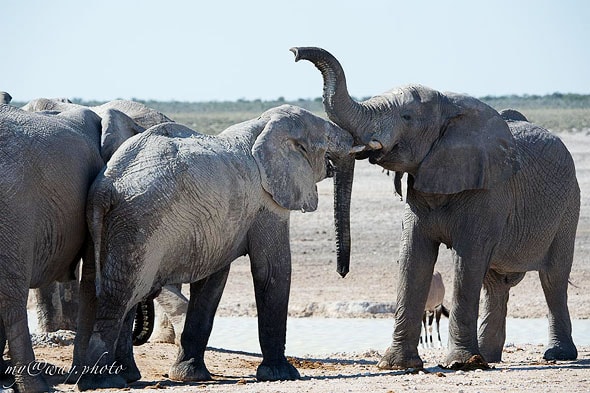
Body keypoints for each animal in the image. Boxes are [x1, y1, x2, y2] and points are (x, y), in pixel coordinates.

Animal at [77, 104, 356, 388]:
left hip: (114, 225)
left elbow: (213, 278)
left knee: (109, 290)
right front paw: (282, 374)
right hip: (138, 224)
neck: (262, 125)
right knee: (121, 296)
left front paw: (189, 375)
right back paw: (102, 382)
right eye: (327, 140)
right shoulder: (266, 203)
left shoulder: (215, 226)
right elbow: (271, 271)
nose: (342, 272)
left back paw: (121, 377)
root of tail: (105, 188)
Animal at [294, 47, 580, 370]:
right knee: (495, 284)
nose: (295, 52)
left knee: (553, 278)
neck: (449, 106)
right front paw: (396, 365)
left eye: (406, 117)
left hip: (569, 205)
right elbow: (413, 257)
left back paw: (556, 355)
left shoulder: (488, 191)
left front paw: (459, 364)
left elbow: (467, 260)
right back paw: (489, 357)